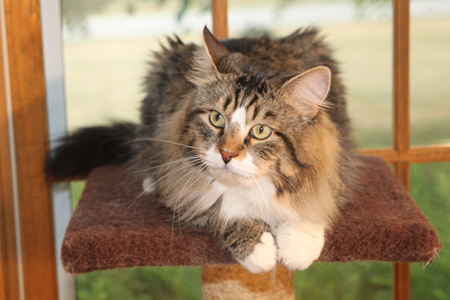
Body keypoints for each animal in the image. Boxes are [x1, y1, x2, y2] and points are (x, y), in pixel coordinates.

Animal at [46, 27, 356, 274]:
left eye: (260, 131)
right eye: (216, 118)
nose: (227, 154)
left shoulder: (337, 165)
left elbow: (312, 202)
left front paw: (298, 246)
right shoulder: (182, 189)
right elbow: (223, 209)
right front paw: (260, 249)